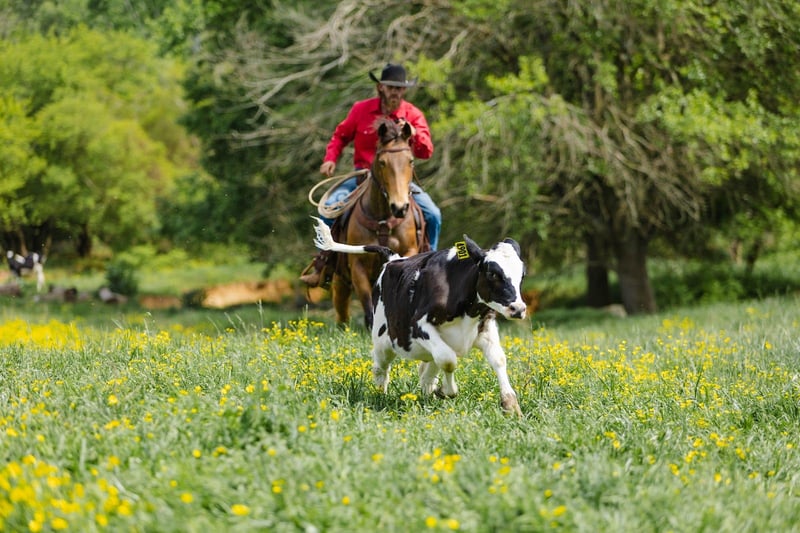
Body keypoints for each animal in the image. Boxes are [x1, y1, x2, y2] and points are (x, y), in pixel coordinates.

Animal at [310, 216, 527, 416]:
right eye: (492, 274)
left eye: (522, 275)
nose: (518, 308)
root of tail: (393, 259)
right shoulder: (419, 326)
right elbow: (448, 360)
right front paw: (447, 391)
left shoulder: (485, 326)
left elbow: (498, 359)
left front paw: (511, 405)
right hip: (383, 340)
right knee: (381, 368)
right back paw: (381, 394)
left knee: (427, 369)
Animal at [331, 119, 428, 328]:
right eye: (383, 162)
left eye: (411, 161)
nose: (400, 207)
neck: (383, 219)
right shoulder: (357, 266)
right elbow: (368, 307)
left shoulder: (408, 252)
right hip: (340, 277)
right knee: (341, 305)